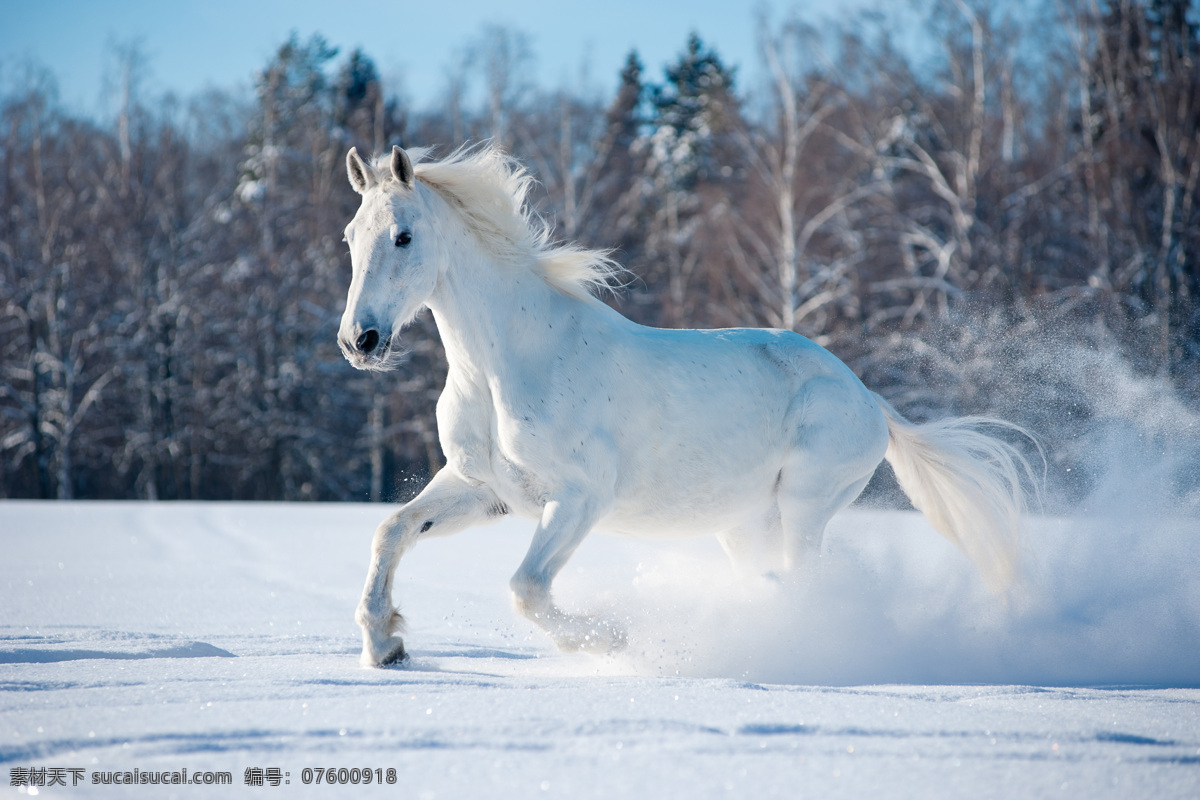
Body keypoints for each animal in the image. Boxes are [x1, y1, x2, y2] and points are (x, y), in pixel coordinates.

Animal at [336, 143, 1032, 671]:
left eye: (403, 236)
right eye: (349, 237)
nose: (358, 341)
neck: (507, 365)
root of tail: (868, 399)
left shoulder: (581, 496)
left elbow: (526, 589)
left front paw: (612, 639)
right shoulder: (484, 489)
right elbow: (391, 531)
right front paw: (386, 645)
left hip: (805, 505)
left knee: (804, 583)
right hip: (744, 524)